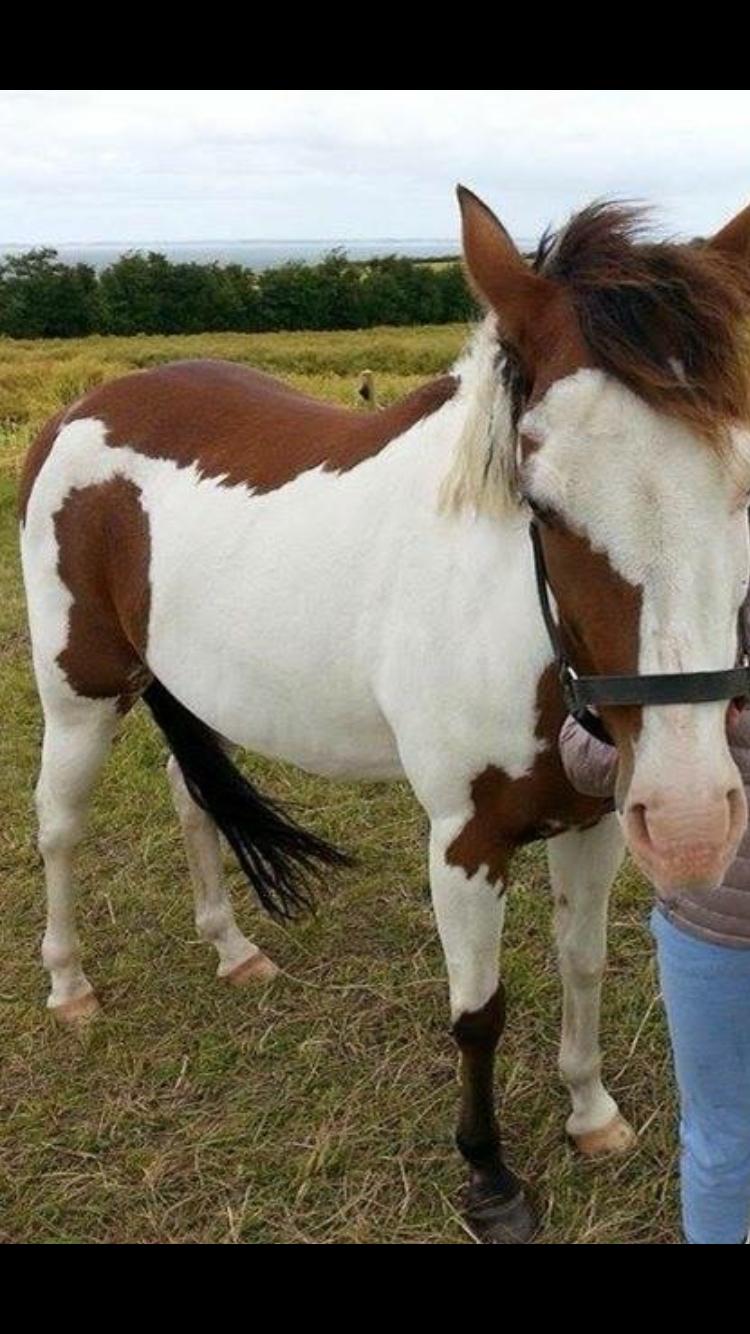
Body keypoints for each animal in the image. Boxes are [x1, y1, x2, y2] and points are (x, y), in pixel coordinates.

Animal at [20, 189, 750, 1244]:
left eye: (743, 487)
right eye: (540, 501)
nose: (695, 821)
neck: (517, 621)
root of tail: (78, 414)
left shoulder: (599, 823)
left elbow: (582, 966)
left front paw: (590, 1113)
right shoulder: (465, 841)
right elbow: (479, 1012)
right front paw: (489, 1176)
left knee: (189, 794)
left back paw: (232, 950)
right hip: (80, 697)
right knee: (61, 826)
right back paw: (70, 983)